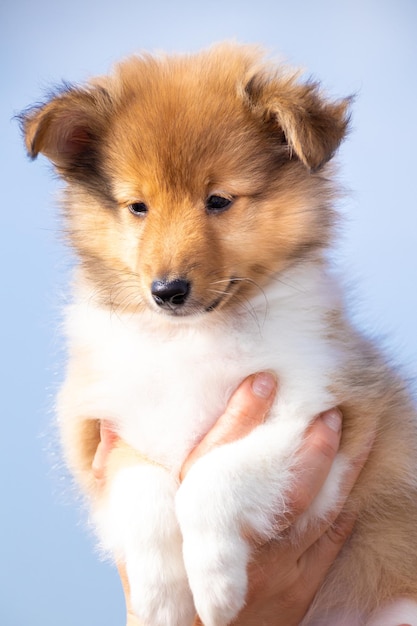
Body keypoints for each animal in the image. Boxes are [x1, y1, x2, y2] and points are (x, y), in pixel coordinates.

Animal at [21, 45, 416, 624]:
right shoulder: (98, 433)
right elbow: (144, 488)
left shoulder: (328, 415)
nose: (167, 291)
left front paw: (215, 587)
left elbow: (213, 475)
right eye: (138, 206)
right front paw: (160, 598)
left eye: (219, 200)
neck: (191, 339)